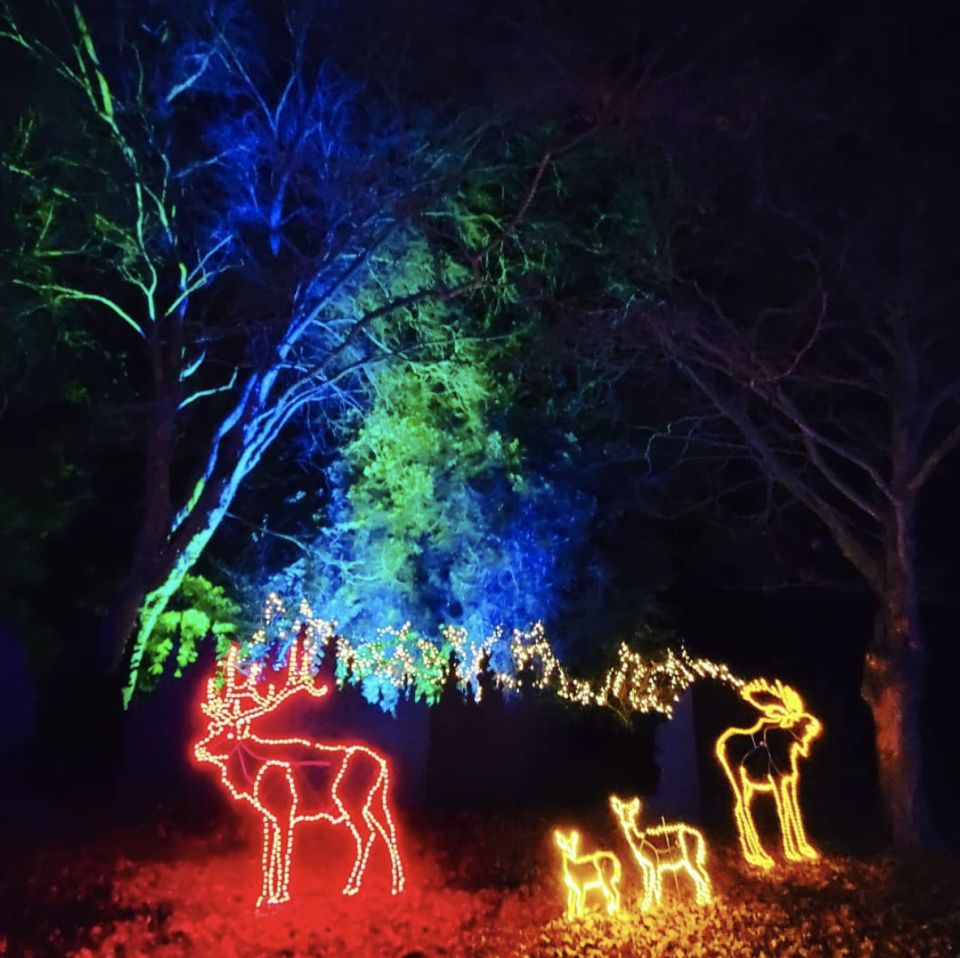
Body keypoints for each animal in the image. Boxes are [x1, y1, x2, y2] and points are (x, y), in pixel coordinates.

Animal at [716, 680, 820, 872]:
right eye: (794, 719)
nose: (814, 723)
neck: (788, 753)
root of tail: (720, 745)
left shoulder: (789, 780)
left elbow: (793, 807)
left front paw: (804, 849)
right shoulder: (776, 780)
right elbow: (783, 810)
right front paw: (791, 852)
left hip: (748, 784)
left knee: (738, 807)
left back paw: (752, 854)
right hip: (736, 777)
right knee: (743, 807)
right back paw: (761, 856)